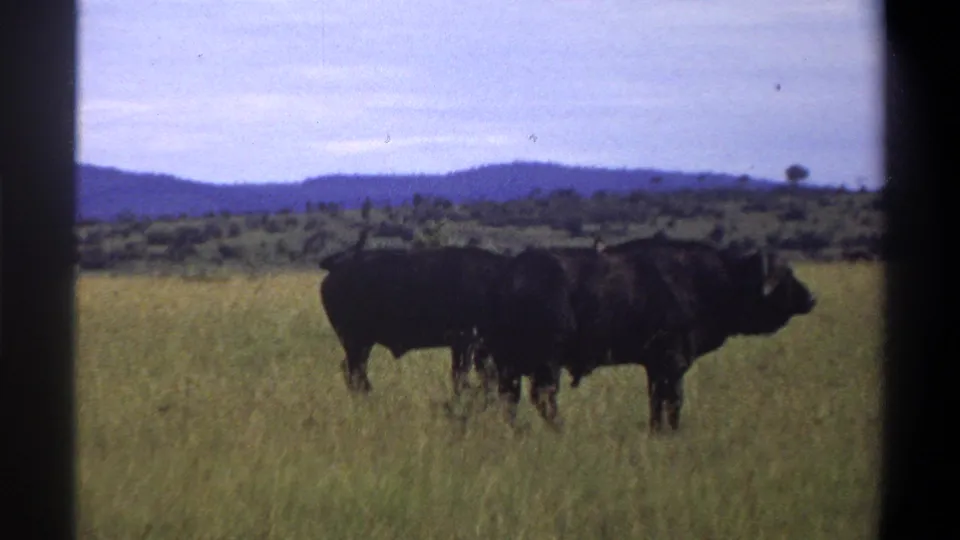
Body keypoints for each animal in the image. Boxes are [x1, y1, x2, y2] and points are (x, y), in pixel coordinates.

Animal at [318, 229, 508, 398]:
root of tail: (336, 267)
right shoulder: (467, 342)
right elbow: (463, 374)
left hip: (360, 344)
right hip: (357, 342)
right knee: (355, 371)